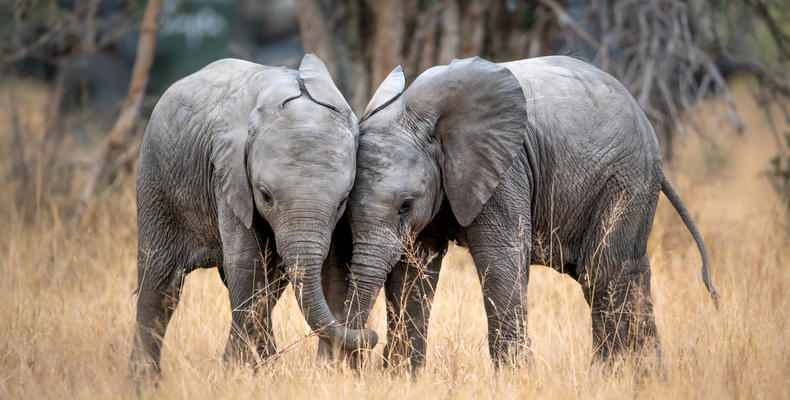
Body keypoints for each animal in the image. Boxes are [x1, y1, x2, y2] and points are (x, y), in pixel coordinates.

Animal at [130, 54, 378, 378]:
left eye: (342, 201)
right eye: (265, 195)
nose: (371, 336)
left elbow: (334, 268)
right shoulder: (229, 175)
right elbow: (246, 265)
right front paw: (248, 374)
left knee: (269, 286)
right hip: (155, 177)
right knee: (160, 284)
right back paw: (145, 381)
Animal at [340, 54, 716, 370]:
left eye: (405, 205)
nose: (364, 340)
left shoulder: (505, 171)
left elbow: (499, 259)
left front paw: (515, 378)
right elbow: (412, 272)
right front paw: (402, 377)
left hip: (625, 178)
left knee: (605, 272)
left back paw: (615, 377)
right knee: (623, 273)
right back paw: (642, 377)